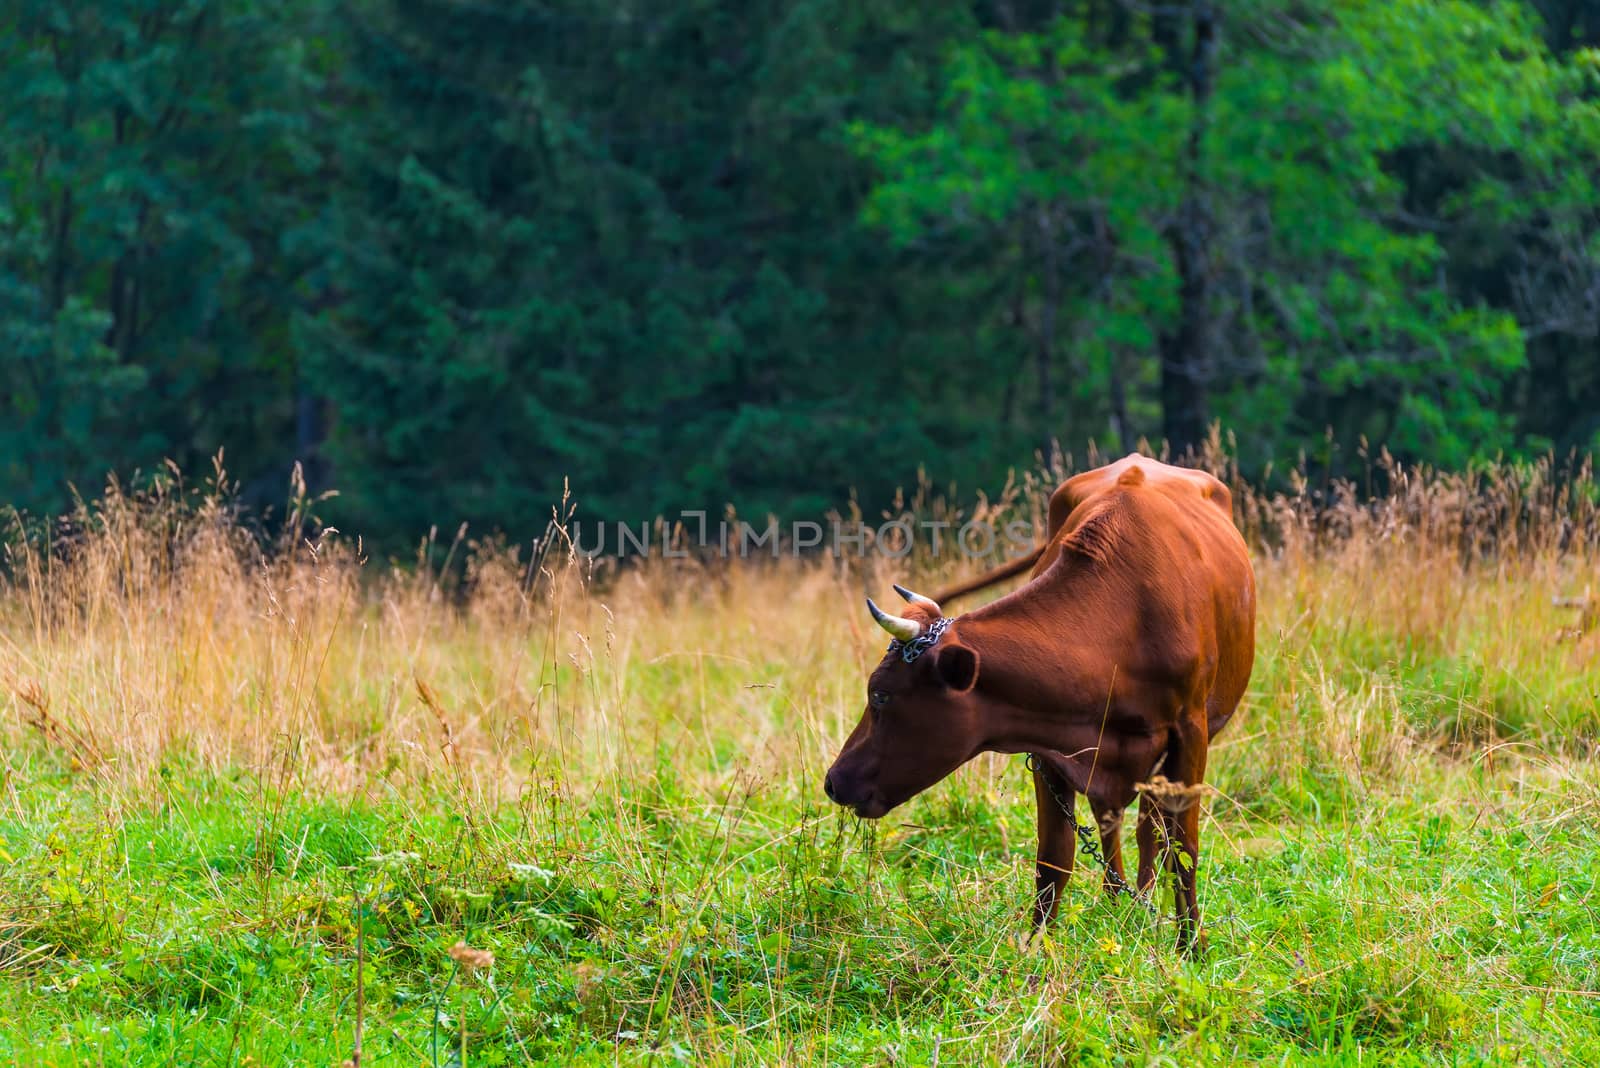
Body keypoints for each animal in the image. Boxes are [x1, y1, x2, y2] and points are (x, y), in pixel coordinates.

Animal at [825, 454, 1260, 952]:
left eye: (880, 694)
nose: (833, 781)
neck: (1125, 623)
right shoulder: (1052, 744)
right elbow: (1054, 856)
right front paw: (1037, 945)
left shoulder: (1190, 734)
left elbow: (1183, 848)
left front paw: (1192, 947)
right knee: (1117, 820)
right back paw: (1118, 899)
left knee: (1149, 824)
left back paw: (1141, 900)